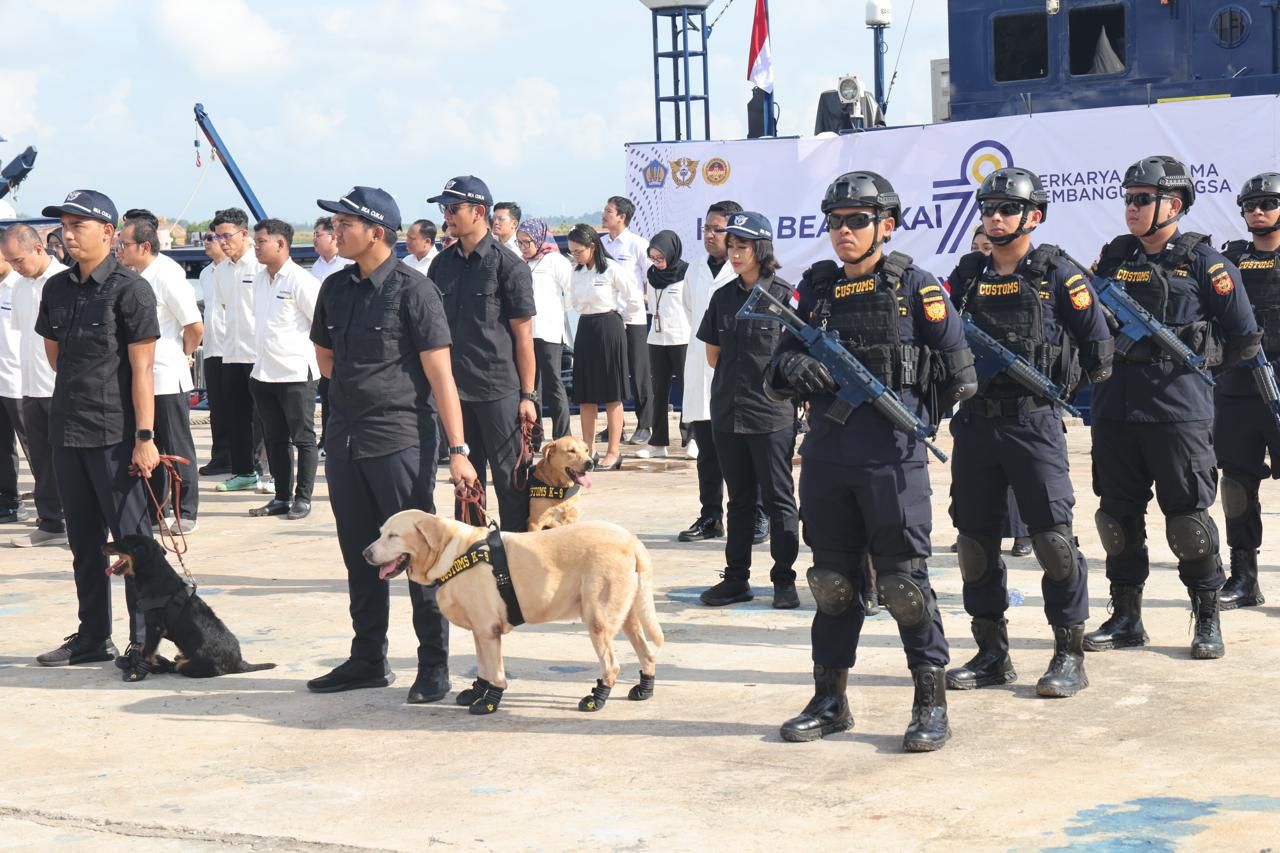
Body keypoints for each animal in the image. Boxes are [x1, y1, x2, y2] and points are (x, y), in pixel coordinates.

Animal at [104, 535, 275, 681]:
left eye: (123, 541)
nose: (102, 545)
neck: (154, 575)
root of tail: (238, 663)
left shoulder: (155, 626)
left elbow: (147, 651)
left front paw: (137, 670)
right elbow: (145, 648)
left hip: (191, 665)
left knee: (177, 667)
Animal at [360, 507, 660, 712]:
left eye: (393, 535)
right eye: (380, 533)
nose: (365, 553)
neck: (453, 552)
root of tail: (631, 540)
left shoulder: (488, 629)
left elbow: (496, 673)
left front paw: (490, 702)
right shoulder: (480, 630)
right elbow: (482, 667)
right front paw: (476, 691)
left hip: (597, 618)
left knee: (612, 665)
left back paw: (596, 699)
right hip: (627, 616)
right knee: (647, 654)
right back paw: (644, 689)